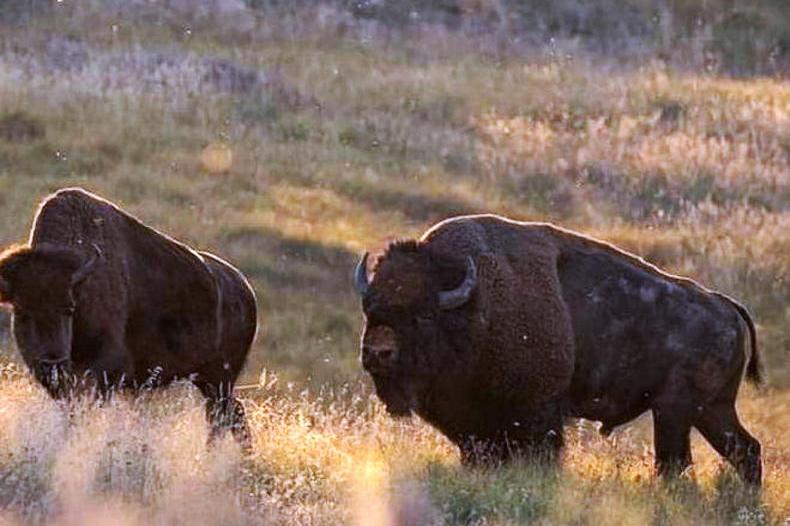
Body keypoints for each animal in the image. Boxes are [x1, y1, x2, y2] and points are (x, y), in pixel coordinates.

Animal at [0, 188, 257, 444]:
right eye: (21, 312)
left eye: (70, 308)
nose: (53, 363)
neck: (83, 286)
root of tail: (245, 289)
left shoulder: (109, 372)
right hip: (208, 380)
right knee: (233, 414)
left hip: (219, 379)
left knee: (220, 418)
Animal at [354, 214, 763, 485]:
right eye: (370, 309)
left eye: (422, 316)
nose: (376, 353)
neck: (474, 306)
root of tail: (726, 306)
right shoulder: (474, 428)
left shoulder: (538, 415)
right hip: (711, 410)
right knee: (745, 450)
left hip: (675, 411)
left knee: (677, 461)